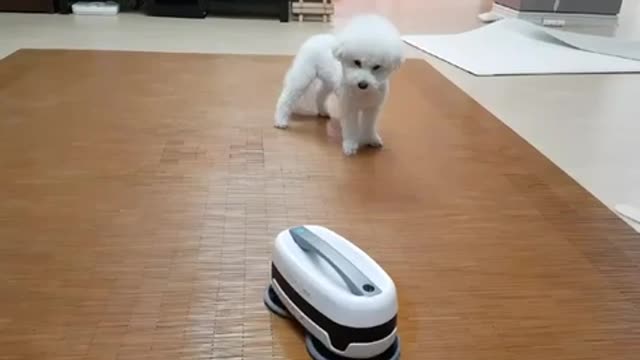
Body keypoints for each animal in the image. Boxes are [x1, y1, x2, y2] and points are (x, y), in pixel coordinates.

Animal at [272, 14, 402, 155]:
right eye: (357, 62)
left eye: (377, 67)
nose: (362, 84)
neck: (362, 93)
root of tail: (316, 37)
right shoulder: (349, 107)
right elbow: (351, 127)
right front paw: (350, 145)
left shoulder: (372, 108)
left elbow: (369, 125)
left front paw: (371, 139)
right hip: (303, 75)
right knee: (286, 98)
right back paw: (280, 120)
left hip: (328, 82)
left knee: (319, 95)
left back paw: (322, 111)